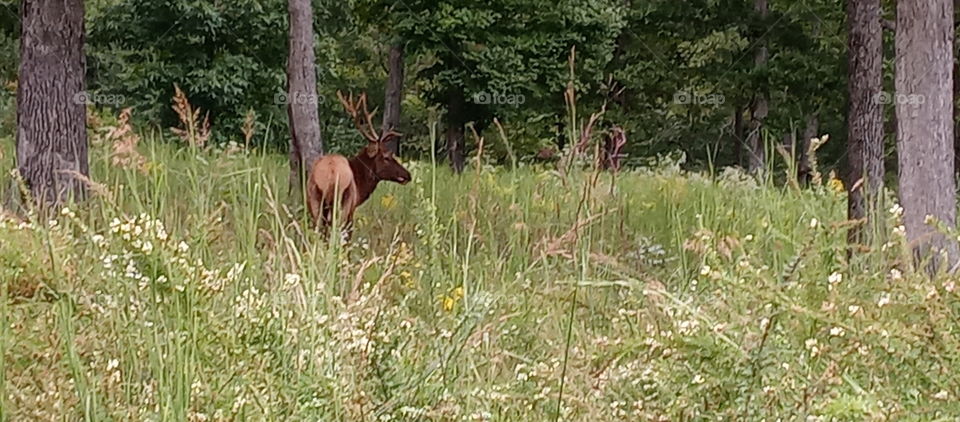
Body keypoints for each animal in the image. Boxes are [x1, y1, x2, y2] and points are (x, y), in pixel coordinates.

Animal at [306, 91, 411, 236]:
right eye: (386, 157)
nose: (408, 175)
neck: (361, 184)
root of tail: (331, 175)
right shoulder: (352, 208)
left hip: (314, 201)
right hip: (344, 201)